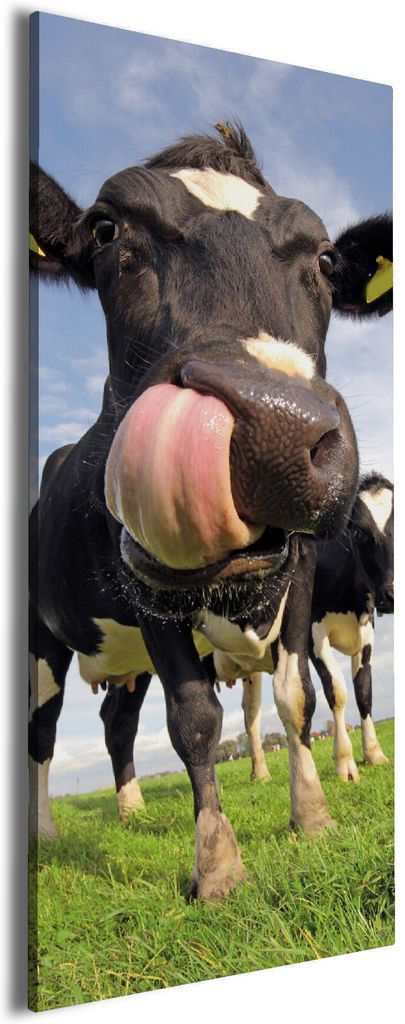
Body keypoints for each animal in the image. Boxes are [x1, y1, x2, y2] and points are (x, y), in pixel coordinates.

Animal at [29, 122, 392, 901]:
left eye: (324, 260)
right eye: (105, 230)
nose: (276, 427)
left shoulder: (300, 583)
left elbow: (298, 698)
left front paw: (312, 817)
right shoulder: (149, 588)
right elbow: (195, 717)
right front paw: (217, 865)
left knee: (115, 719)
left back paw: (130, 808)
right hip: (41, 637)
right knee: (42, 730)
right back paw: (42, 833)